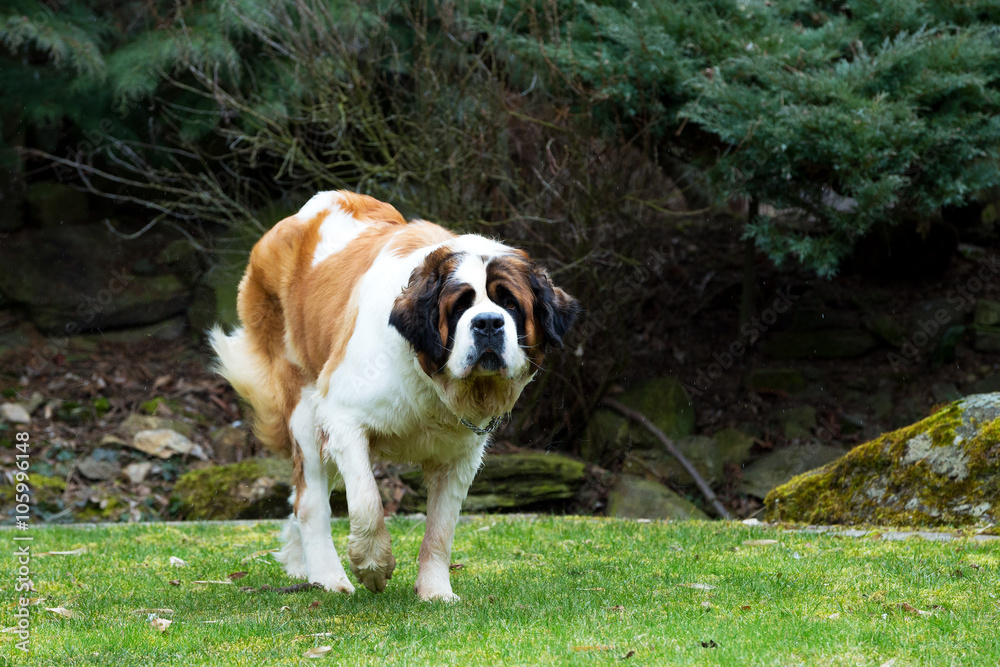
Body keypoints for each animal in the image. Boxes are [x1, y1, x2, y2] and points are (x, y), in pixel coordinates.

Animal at [211, 190, 580, 604]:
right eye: (460, 306)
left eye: (511, 304)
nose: (488, 323)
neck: (431, 382)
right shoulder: (341, 417)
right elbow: (367, 501)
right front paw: (373, 564)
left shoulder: (460, 456)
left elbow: (441, 529)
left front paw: (435, 590)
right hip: (305, 407)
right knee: (311, 502)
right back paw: (329, 577)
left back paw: (300, 562)